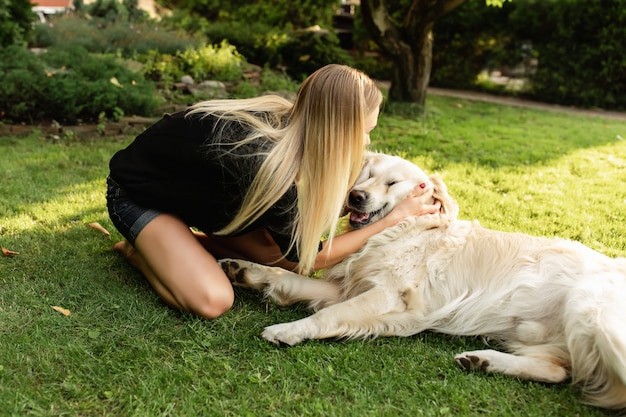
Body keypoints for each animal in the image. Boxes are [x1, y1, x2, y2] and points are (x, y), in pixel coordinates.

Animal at [218, 151, 624, 408]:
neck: (402, 229)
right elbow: (286, 276)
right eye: (367, 175)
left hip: (592, 311)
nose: (356, 196)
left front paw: (287, 330)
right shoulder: (345, 286)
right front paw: (245, 269)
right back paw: (483, 361)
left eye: (393, 183)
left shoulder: (389, 295)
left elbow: (327, 316)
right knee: (556, 371)